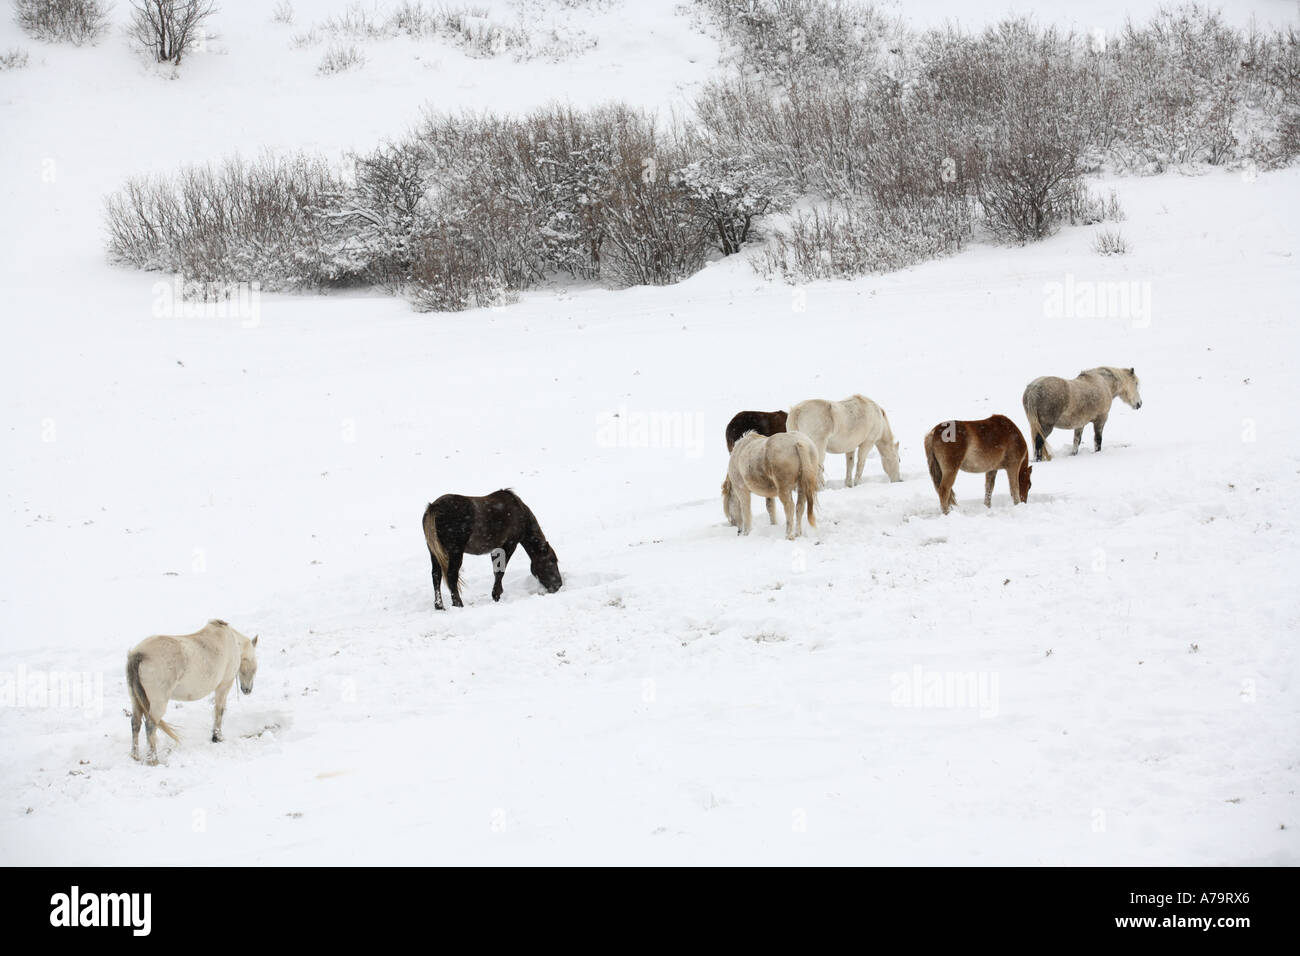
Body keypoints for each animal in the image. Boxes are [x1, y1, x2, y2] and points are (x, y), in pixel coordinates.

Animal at [126, 621, 258, 770]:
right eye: (254, 668)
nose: (247, 690)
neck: (232, 641)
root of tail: (139, 654)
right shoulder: (224, 685)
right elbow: (219, 710)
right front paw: (217, 737)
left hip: (135, 698)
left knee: (135, 723)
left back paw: (135, 756)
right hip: (158, 703)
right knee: (150, 726)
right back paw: (153, 760)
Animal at [418, 489, 556, 608]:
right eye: (552, 561)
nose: (558, 585)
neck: (519, 512)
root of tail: (434, 507)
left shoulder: (495, 549)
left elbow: (496, 571)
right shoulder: (509, 545)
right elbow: (500, 571)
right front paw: (496, 595)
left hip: (434, 552)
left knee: (436, 575)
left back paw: (439, 606)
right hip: (455, 552)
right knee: (451, 575)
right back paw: (458, 604)